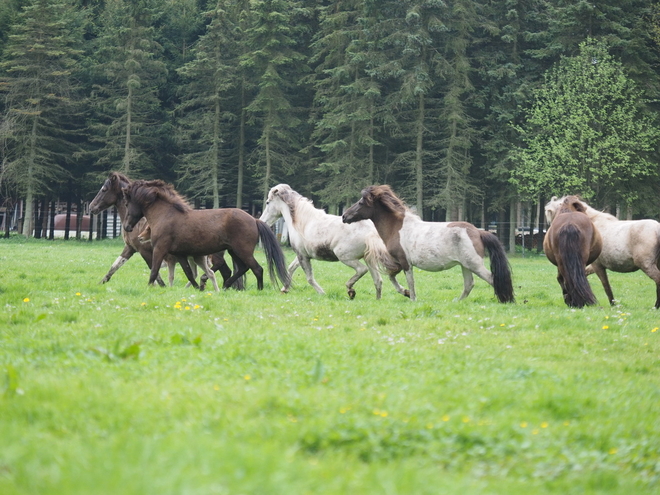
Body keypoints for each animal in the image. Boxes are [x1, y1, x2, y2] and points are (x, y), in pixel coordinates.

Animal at [122, 180, 292, 290]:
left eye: (127, 203)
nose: (127, 227)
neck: (166, 215)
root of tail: (254, 220)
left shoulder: (159, 249)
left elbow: (154, 270)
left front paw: (149, 287)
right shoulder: (180, 254)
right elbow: (189, 273)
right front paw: (198, 287)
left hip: (242, 251)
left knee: (257, 269)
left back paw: (258, 290)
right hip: (234, 251)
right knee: (242, 268)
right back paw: (225, 286)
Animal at [260, 185, 404, 300]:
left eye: (267, 202)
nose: (262, 221)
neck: (302, 222)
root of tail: (370, 232)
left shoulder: (303, 256)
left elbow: (309, 278)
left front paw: (322, 293)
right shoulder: (302, 255)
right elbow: (291, 268)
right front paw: (284, 289)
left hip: (345, 257)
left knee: (362, 270)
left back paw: (350, 290)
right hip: (369, 258)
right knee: (378, 280)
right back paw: (385, 297)